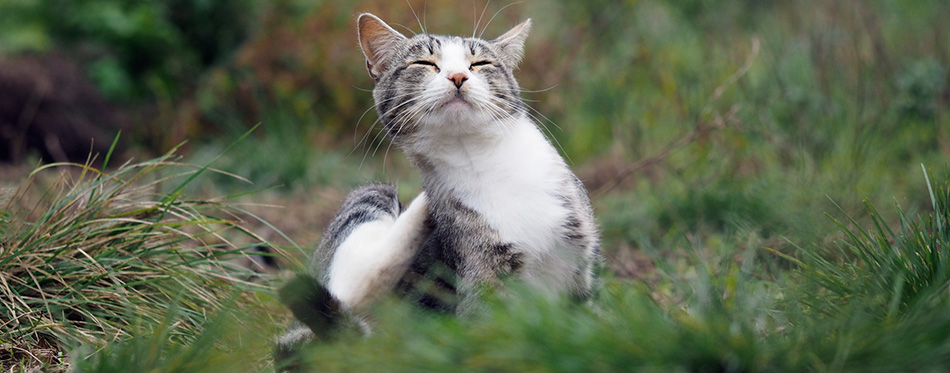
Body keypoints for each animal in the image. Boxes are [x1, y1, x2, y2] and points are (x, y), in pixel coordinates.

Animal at [278, 11, 604, 360]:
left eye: (480, 63)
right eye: (424, 62)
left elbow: (589, 319)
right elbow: (493, 332)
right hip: (372, 200)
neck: (481, 159)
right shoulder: (480, 281)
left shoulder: (579, 266)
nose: (458, 75)